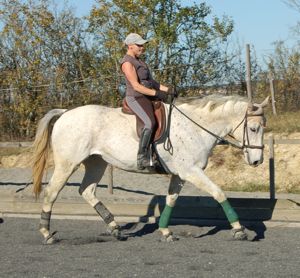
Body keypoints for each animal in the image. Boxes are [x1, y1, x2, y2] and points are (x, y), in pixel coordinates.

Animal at [32, 95, 270, 243]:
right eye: (253, 128)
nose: (257, 161)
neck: (195, 127)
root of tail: (65, 113)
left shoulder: (180, 174)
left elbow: (171, 200)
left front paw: (165, 231)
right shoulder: (191, 171)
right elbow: (218, 193)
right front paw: (239, 230)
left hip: (97, 162)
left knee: (87, 191)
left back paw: (115, 229)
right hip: (67, 164)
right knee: (51, 192)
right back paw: (46, 234)